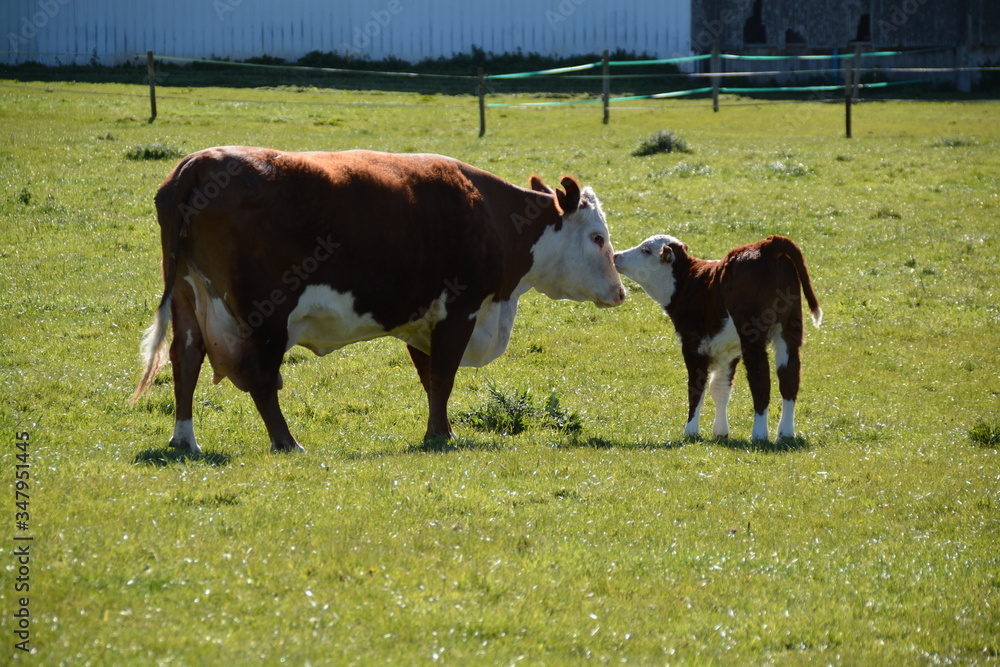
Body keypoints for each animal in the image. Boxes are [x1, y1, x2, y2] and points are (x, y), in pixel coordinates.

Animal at [129, 147, 620, 454]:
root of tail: (199, 162)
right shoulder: (459, 311)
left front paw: (439, 430)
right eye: (598, 237)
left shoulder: (420, 320)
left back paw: (185, 439)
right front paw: (441, 436)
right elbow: (443, 377)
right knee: (263, 380)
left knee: (186, 360)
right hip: (266, 315)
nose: (620, 290)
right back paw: (287, 442)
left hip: (188, 297)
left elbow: (430, 380)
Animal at [616, 235, 820, 444]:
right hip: (790, 329)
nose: (616, 255)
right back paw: (786, 433)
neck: (687, 282)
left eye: (646, 250)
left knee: (760, 379)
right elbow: (720, 387)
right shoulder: (727, 349)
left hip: (752, 336)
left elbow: (697, 387)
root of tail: (766, 244)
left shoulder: (693, 343)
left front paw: (691, 431)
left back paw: (759, 434)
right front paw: (721, 431)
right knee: (789, 377)